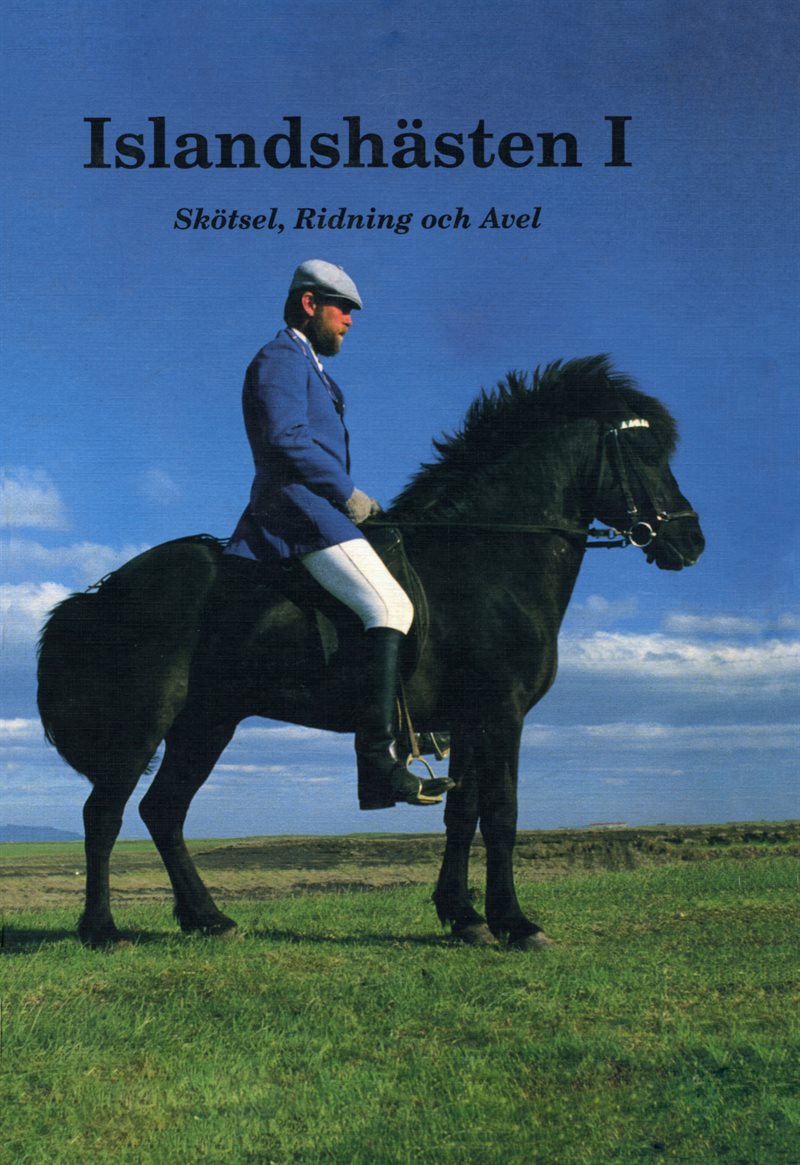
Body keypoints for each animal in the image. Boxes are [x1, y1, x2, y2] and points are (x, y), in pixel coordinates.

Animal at [37, 356, 704, 949]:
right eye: (646, 453)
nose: (691, 540)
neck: (486, 559)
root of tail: (109, 588)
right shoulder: (501, 712)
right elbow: (502, 814)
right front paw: (516, 924)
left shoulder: (468, 720)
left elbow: (462, 815)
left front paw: (463, 917)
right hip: (145, 723)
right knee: (105, 815)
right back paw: (102, 931)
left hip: (207, 722)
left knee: (163, 811)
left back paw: (209, 919)